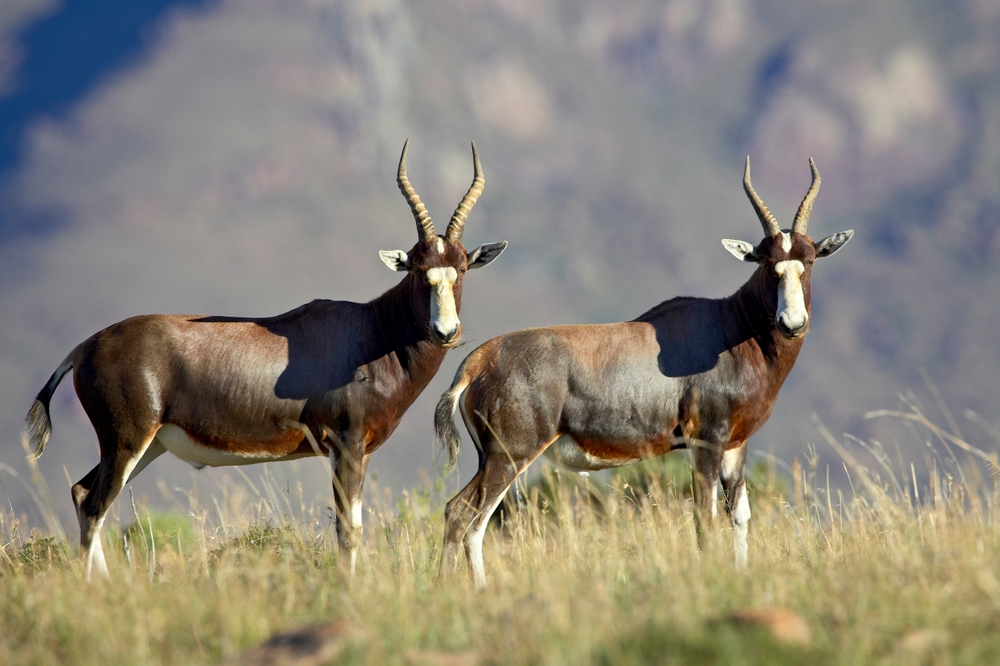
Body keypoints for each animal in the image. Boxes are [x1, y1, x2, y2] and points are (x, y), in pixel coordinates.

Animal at [25, 139, 508, 576]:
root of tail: (86, 346)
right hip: (127, 442)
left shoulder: (361, 451)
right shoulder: (345, 444)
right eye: (420, 271)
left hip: (147, 446)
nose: (445, 333)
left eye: (462, 268)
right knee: (94, 505)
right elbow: (349, 530)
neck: (370, 330)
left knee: (82, 494)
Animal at [438, 157, 852, 588]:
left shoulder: (736, 444)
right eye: (768, 264)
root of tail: (476, 362)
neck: (730, 325)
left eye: (808, 260)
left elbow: (739, 516)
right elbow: (705, 518)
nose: (792, 323)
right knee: (464, 513)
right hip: (509, 455)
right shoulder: (707, 441)